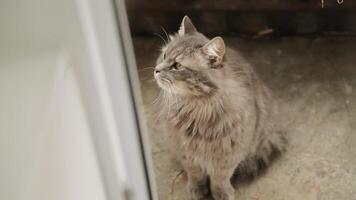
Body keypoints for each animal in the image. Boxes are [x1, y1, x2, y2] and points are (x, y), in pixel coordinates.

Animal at [154, 16, 286, 200]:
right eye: (164, 55)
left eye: (178, 66)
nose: (156, 70)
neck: (199, 109)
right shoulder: (185, 150)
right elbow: (195, 174)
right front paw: (197, 189)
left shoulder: (229, 152)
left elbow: (220, 178)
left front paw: (221, 193)